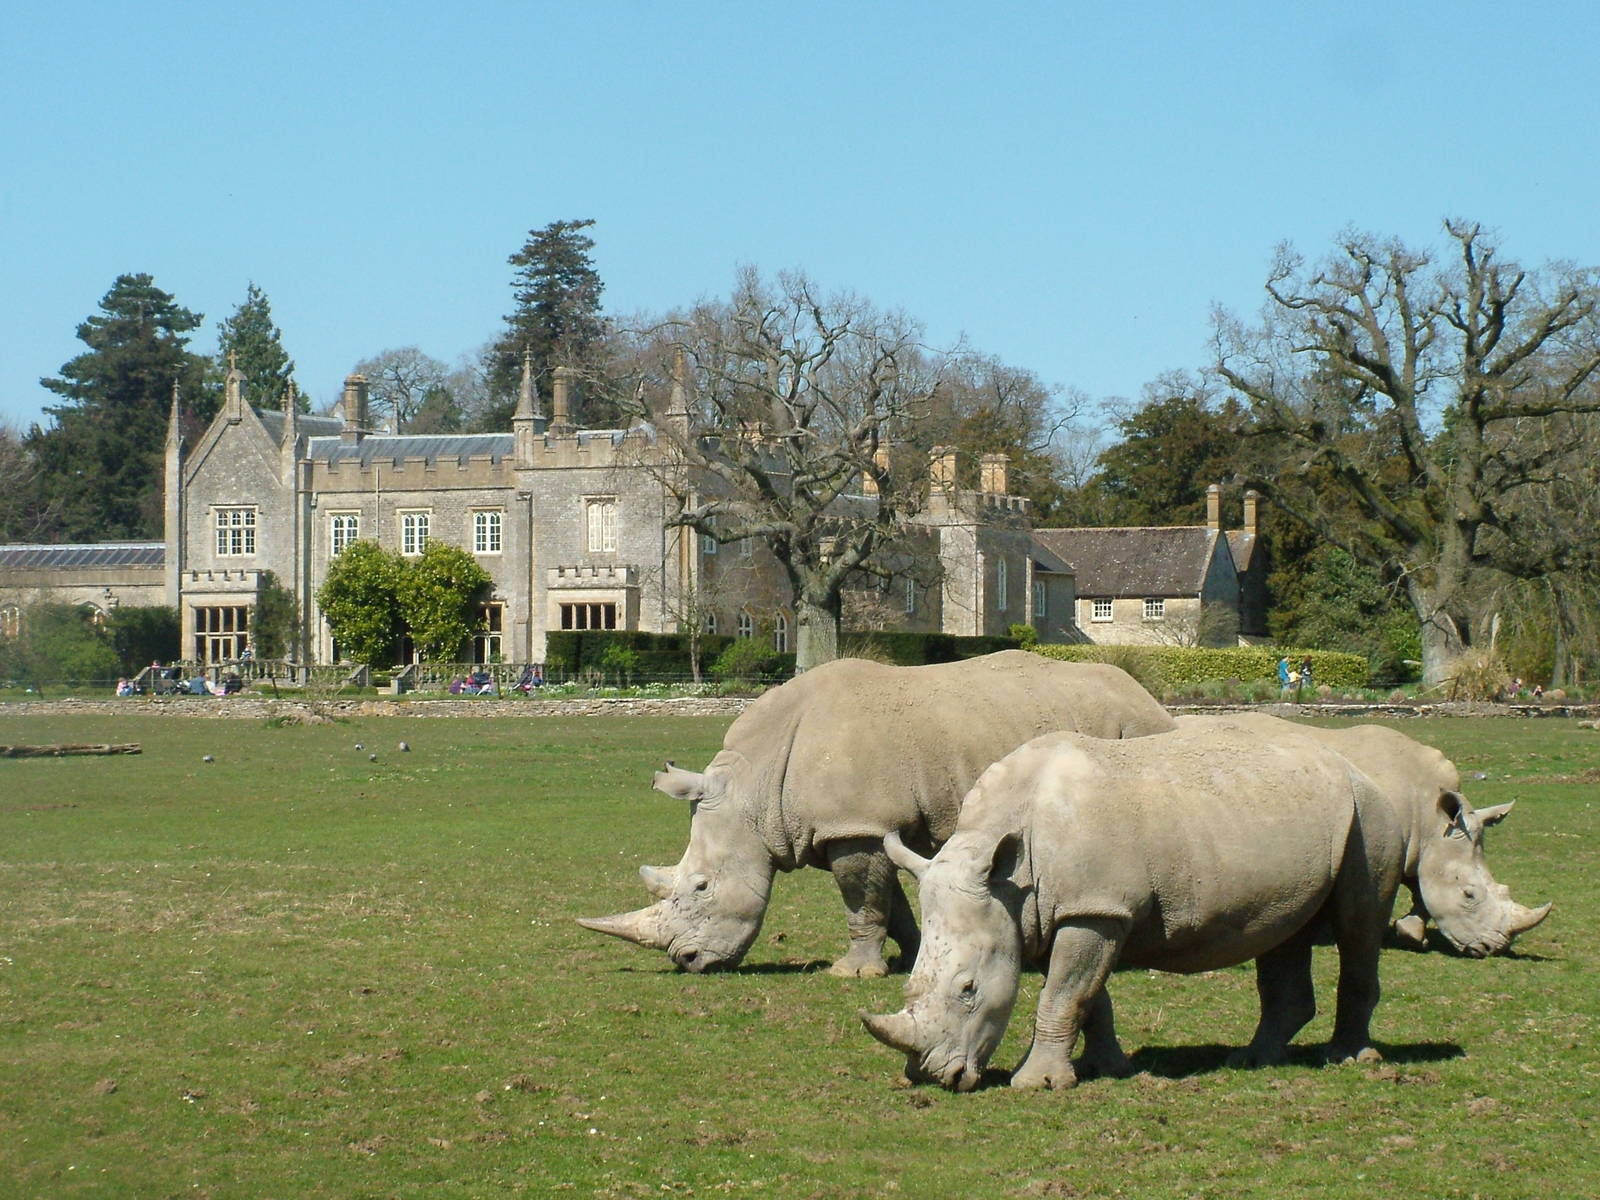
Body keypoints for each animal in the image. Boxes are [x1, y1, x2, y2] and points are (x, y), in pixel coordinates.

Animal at [578, 651, 1175, 976]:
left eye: (701, 887)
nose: (686, 962)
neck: (752, 788)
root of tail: (1149, 696)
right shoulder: (860, 826)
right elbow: (889, 901)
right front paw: (911, 955)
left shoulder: (854, 827)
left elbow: (861, 898)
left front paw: (852, 972)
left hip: (1134, 731)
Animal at [862, 724, 1405, 1090]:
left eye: (969, 989)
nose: (932, 1076)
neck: (1008, 878)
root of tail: (1357, 769)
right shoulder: (1068, 910)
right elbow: (1086, 996)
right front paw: (1102, 1069)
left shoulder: (1094, 909)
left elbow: (1062, 994)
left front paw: (1036, 1085)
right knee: (1285, 929)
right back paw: (1254, 1062)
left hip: (1370, 814)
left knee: (1358, 927)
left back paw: (1348, 1059)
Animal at [1175, 714, 1551, 956]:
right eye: (1469, 894)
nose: (1492, 948)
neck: (1430, 819)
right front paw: (1412, 937)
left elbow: (1420, 888)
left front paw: (1411, 933)